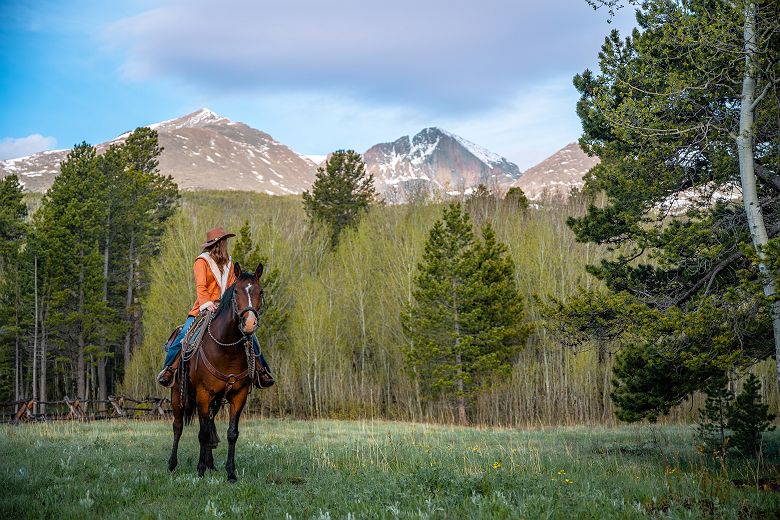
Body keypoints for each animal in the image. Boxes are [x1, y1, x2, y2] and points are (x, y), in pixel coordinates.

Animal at [167, 261, 264, 482]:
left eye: (260, 292)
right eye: (236, 291)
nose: (249, 324)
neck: (227, 350)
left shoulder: (239, 395)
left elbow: (231, 433)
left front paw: (231, 472)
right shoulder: (203, 394)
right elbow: (202, 433)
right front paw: (200, 470)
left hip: (217, 400)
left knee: (210, 424)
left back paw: (211, 463)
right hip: (177, 393)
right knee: (178, 426)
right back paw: (172, 464)